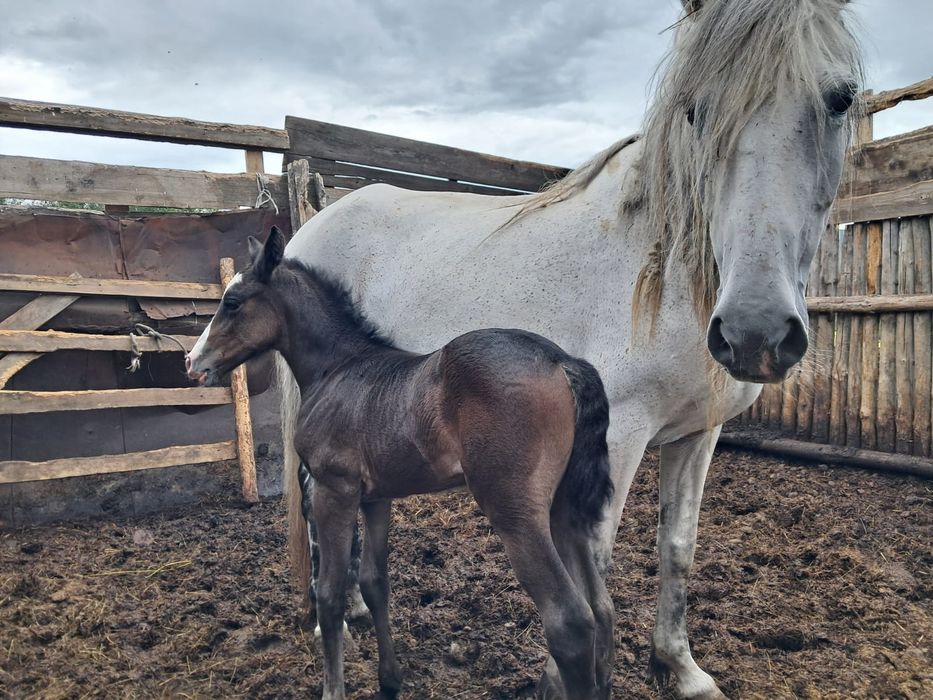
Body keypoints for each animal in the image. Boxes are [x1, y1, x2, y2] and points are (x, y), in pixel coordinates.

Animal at [185, 226, 617, 699]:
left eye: (232, 302)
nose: (191, 362)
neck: (336, 369)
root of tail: (562, 361)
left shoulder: (333, 490)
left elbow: (331, 592)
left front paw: (333, 689)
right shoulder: (376, 497)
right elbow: (375, 583)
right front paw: (389, 681)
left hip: (515, 512)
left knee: (570, 622)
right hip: (564, 508)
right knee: (601, 608)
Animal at [276, 1, 863, 697]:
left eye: (840, 98)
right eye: (695, 110)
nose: (756, 331)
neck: (661, 274)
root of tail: (312, 223)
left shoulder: (700, 434)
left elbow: (678, 547)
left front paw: (679, 666)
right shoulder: (619, 438)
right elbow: (595, 566)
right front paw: (564, 678)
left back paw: (356, 609)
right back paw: (332, 615)